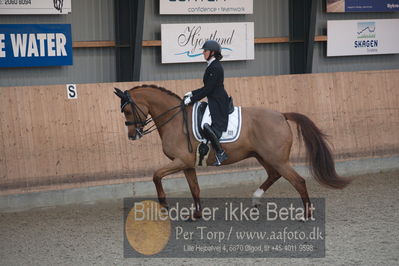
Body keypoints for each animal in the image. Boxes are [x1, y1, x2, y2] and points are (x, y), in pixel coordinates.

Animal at [114, 84, 352, 218]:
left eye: (127, 111)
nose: (132, 135)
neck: (175, 120)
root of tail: (281, 115)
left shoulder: (180, 161)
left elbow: (156, 176)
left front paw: (164, 204)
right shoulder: (187, 164)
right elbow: (195, 189)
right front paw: (196, 214)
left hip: (277, 159)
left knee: (298, 181)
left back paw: (306, 214)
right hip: (263, 156)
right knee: (274, 175)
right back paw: (256, 199)